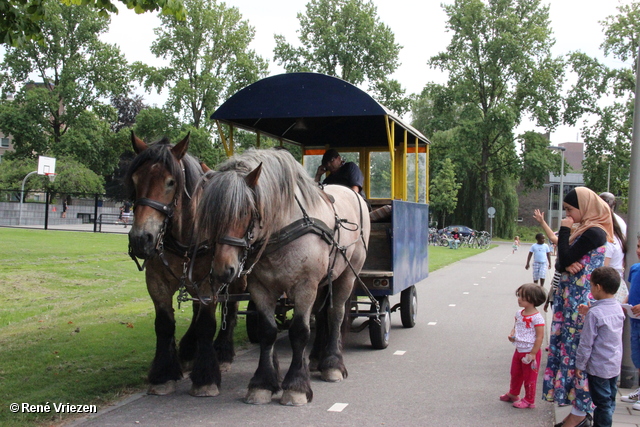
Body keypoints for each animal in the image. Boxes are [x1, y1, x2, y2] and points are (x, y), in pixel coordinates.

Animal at [125, 134, 242, 398]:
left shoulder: (211, 281)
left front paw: (206, 378)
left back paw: (223, 351)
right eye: (135, 179)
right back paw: (189, 349)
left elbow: (207, 324)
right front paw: (163, 374)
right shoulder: (156, 281)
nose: (141, 238)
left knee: (230, 307)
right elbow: (164, 325)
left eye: (170, 182)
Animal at [198, 149, 372, 406]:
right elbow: (267, 331)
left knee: (336, 314)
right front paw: (263, 383)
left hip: (347, 275)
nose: (222, 269)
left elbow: (299, 331)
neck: (283, 229)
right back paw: (317, 358)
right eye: (210, 215)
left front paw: (296, 386)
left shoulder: (305, 286)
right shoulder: (261, 287)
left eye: (244, 212)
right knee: (322, 315)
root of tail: (352, 193)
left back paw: (332, 364)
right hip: (324, 280)